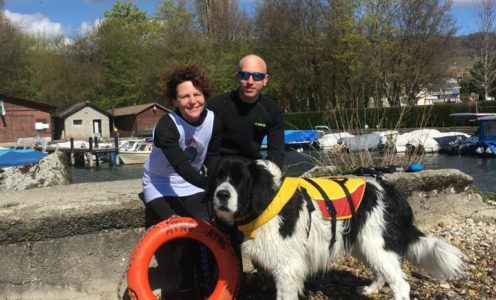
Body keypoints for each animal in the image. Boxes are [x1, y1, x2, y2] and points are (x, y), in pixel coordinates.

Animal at [208, 157, 464, 300]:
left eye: (241, 181)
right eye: (218, 178)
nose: (221, 195)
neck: (266, 200)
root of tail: (392, 192)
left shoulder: (287, 269)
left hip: (376, 243)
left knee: (401, 284)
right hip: (363, 244)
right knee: (382, 272)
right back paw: (371, 290)